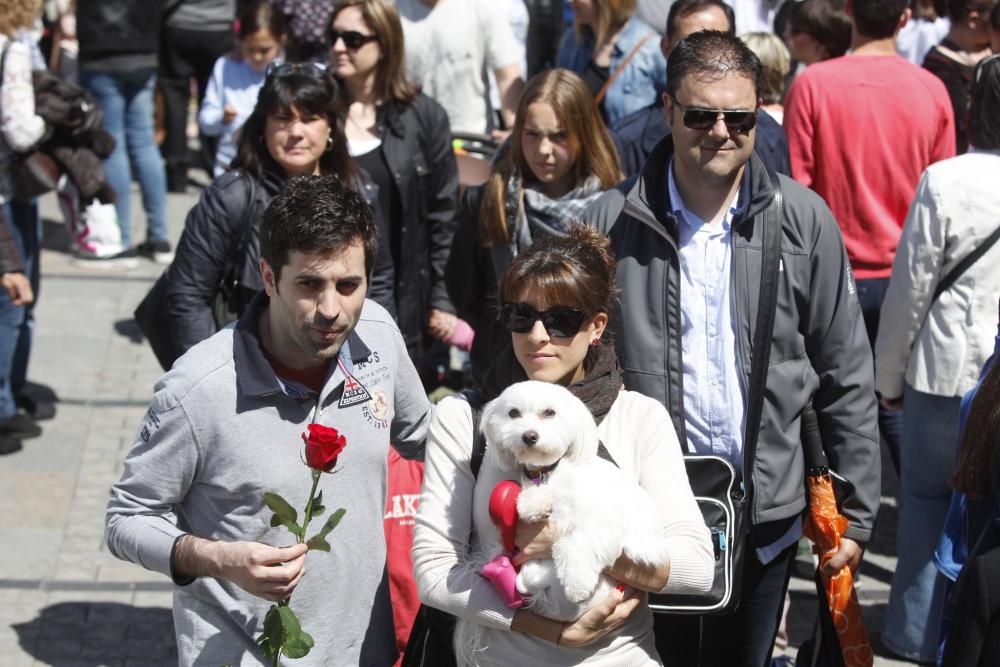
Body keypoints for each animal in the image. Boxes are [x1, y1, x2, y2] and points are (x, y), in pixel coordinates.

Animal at [478, 384, 668, 624]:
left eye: (549, 412)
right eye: (513, 413)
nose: (529, 436)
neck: (549, 472)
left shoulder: (601, 518)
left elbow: (578, 543)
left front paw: (577, 584)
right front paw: (535, 506)